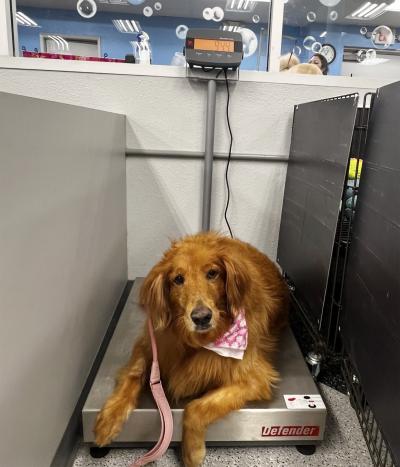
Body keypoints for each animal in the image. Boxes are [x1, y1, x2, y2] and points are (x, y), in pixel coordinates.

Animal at [95, 232, 290, 466]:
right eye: (178, 279)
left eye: (212, 273)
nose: (201, 317)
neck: (196, 341)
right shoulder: (151, 343)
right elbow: (134, 373)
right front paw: (110, 417)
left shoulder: (256, 378)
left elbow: (195, 407)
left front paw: (192, 451)